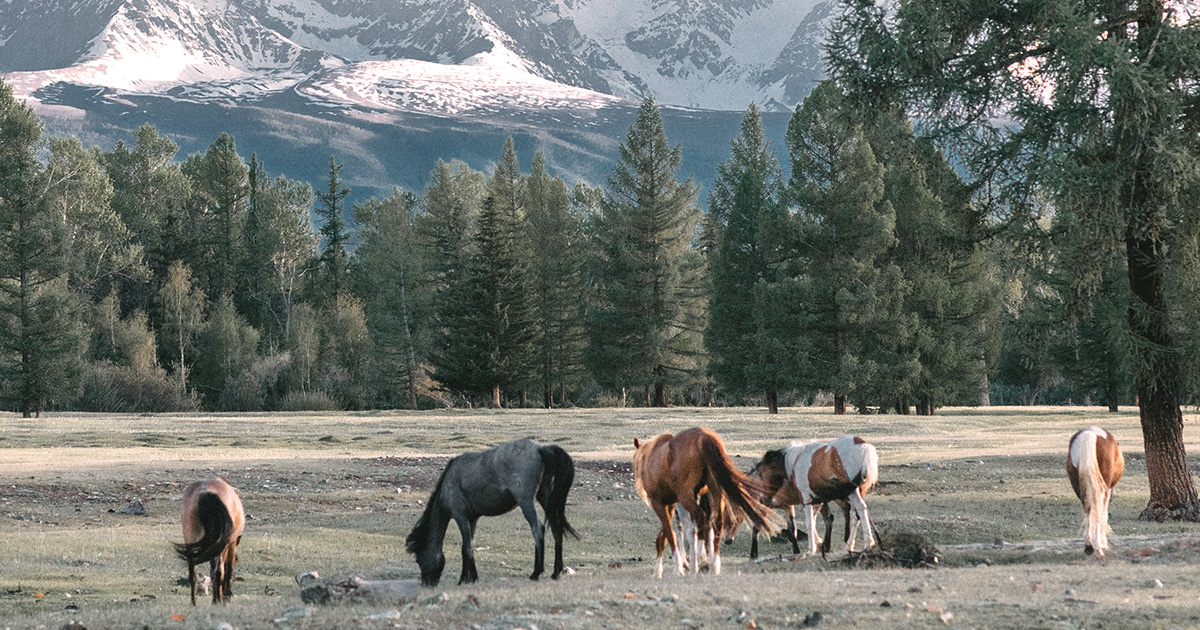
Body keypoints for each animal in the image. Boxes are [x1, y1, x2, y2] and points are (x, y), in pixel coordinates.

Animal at [405, 438, 578, 586]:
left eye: (419, 559)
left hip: (525, 501)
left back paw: (536, 573)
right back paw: (556, 572)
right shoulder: (472, 519)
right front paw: (468, 577)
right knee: (556, 528)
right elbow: (468, 547)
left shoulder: (460, 516)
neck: (448, 483)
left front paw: (467, 578)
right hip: (545, 496)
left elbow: (466, 548)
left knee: (538, 529)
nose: (427, 584)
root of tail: (539, 448)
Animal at [633, 427, 779, 577]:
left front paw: (676, 567)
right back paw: (713, 564)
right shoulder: (671, 504)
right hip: (714, 492)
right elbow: (667, 534)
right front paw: (662, 569)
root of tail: (704, 436)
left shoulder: (659, 503)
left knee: (700, 519)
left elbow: (670, 532)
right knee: (715, 523)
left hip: (687, 497)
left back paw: (700, 560)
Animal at [1067, 426, 1124, 557]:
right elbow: (1103, 514)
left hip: (1079, 487)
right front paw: (1103, 542)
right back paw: (1098, 547)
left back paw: (1089, 545)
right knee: (1098, 509)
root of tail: (1091, 433)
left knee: (1088, 509)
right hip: (1103, 489)